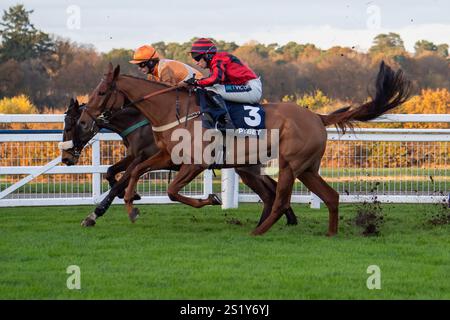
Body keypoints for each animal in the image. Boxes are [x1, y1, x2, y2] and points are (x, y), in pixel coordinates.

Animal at [62, 99, 296, 226]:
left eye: (75, 123)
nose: (65, 158)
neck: (140, 123)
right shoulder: (135, 155)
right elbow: (111, 171)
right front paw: (132, 194)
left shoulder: (143, 157)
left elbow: (120, 181)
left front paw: (94, 215)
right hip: (248, 168)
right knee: (273, 187)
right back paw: (287, 217)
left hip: (246, 168)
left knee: (273, 188)